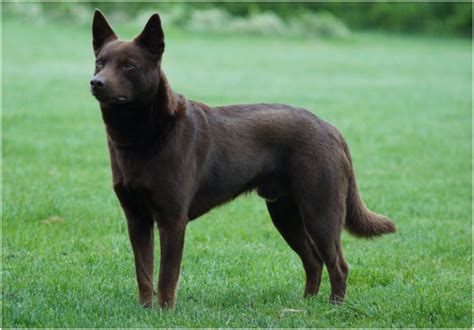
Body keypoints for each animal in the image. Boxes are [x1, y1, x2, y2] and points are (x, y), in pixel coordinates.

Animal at [90, 10, 396, 308]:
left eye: (129, 65)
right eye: (99, 63)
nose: (96, 83)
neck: (141, 135)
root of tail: (331, 129)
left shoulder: (172, 219)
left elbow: (167, 275)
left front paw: (163, 312)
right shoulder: (136, 218)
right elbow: (143, 272)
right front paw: (145, 310)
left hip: (320, 211)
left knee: (338, 265)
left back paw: (333, 307)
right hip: (285, 213)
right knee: (314, 261)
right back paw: (306, 304)